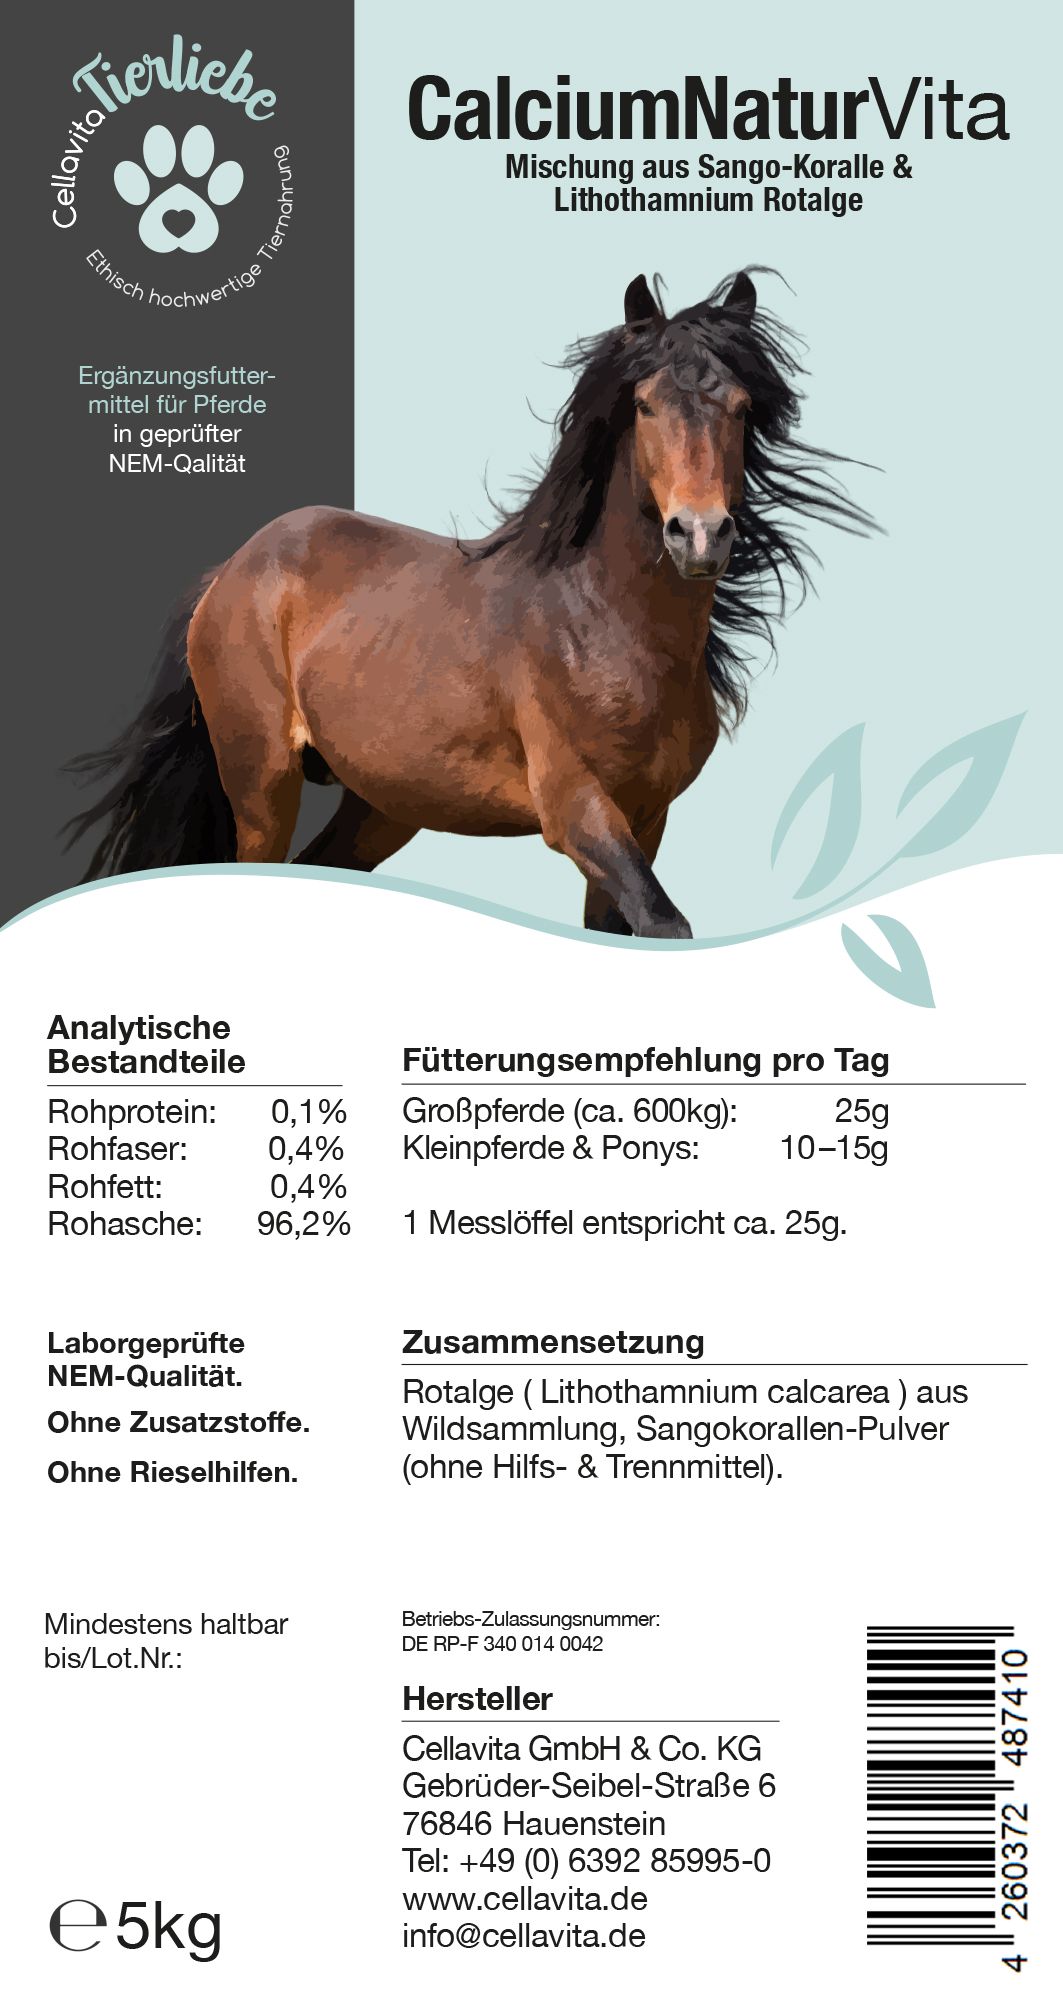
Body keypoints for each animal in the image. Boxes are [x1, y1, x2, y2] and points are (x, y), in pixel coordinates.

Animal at [66, 269, 875, 937]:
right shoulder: (577, 810)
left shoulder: (647, 819)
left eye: (740, 406)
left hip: (379, 804)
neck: (605, 628)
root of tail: (235, 567)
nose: (700, 534)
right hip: (262, 780)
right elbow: (665, 923)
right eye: (645, 405)